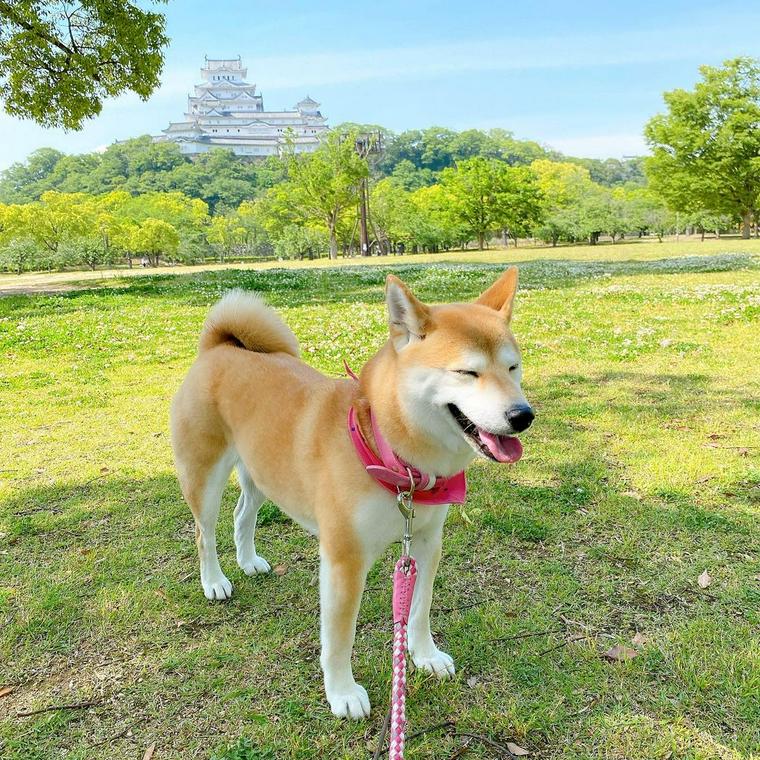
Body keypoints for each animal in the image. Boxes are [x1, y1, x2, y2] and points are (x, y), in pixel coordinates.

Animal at [168, 268, 532, 720]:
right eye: (467, 373)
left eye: (512, 367)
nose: (523, 415)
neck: (390, 454)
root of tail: (218, 348)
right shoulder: (345, 560)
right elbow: (340, 637)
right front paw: (342, 693)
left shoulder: (427, 541)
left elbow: (420, 609)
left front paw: (425, 656)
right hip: (204, 476)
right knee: (204, 534)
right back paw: (215, 581)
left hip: (263, 473)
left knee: (242, 515)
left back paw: (249, 561)